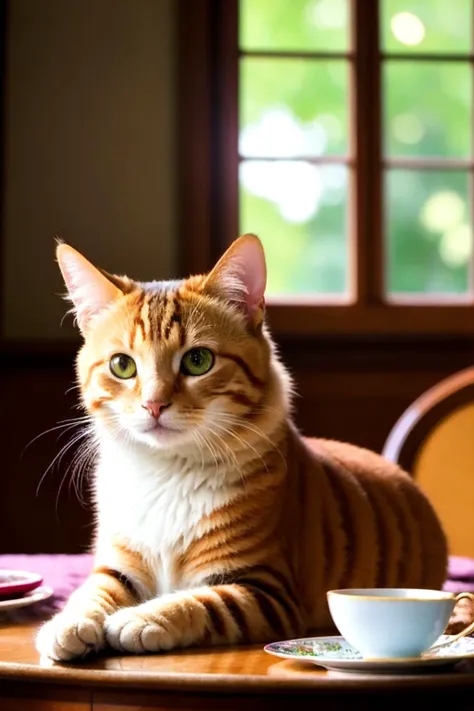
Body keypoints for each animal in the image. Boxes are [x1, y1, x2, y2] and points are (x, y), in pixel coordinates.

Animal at [36, 234, 448, 660]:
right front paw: (69, 623)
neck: (167, 472)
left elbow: (197, 603)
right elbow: (91, 593)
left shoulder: (264, 589)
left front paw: (142, 618)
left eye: (197, 360)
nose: (154, 404)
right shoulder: (117, 565)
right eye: (122, 365)